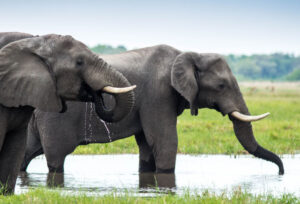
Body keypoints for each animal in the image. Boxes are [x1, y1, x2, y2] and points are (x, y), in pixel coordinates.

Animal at [20, 43, 284, 176]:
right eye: (221, 86)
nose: (281, 172)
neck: (187, 54)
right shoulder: (158, 94)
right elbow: (165, 140)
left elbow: (147, 144)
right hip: (55, 118)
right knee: (56, 158)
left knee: (28, 151)